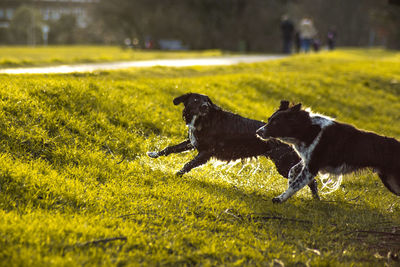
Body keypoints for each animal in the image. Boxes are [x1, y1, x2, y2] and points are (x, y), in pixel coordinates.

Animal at [148, 93, 320, 200]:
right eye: (195, 100)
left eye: (206, 101)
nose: (204, 106)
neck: (205, 119)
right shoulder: (193, 143)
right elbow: (170, 148)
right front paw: (154, 154)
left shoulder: (206, 152)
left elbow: (188, 164)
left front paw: (176, 174)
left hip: (284, 164)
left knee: (311, 180)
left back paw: (316, 199)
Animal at [256, 101, 400, 204]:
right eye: (269, 120)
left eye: (275, 123)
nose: (258, 132)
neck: (306, 128)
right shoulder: (307, 162)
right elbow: (292, 172)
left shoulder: (312, 168)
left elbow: (296, 184)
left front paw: (280, 198)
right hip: (390, 181)